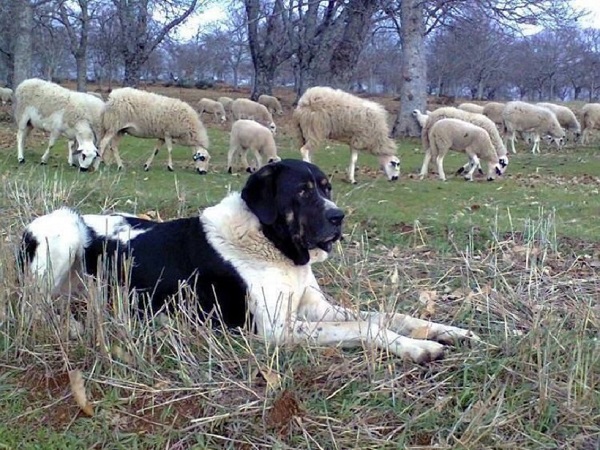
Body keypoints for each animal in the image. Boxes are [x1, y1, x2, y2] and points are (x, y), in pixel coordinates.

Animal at [21, 158, 478, 362]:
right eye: (302, 192)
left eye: (327, 187)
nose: (339, 217)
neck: (272, 246)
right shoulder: (275, 331)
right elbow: (366, 328)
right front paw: (418, 348)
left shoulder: (315, 309)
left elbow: (386, 315)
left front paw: (446, 330)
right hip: (62, 233)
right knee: (38, 310)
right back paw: (73, 326)